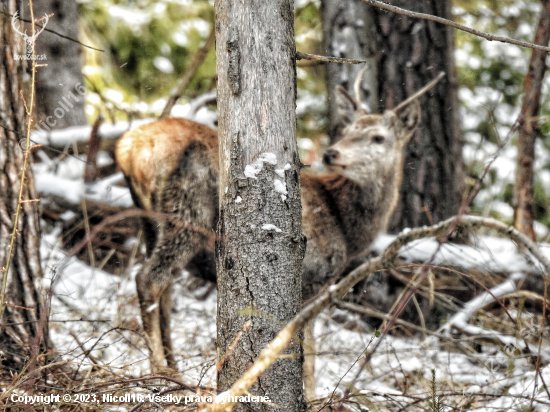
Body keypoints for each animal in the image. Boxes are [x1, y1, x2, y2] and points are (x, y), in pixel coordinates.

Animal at [114, 71, 446, 376]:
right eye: (348, 130)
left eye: (378, 137)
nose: (331, 153)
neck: (346, 227)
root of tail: (129, 149)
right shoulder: (314, 278)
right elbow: (307, 353)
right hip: (188, 210)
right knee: (150, 279)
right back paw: (160, 369)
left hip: (151, 221)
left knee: (164, 291)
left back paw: (172, 369)